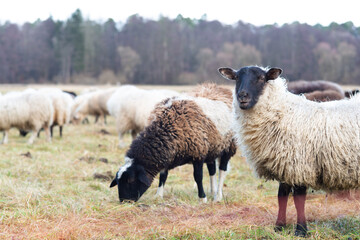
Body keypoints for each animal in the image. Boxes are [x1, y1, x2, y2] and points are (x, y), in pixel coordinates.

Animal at [218, 65, 360, 236]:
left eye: (261, 78)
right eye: (237, 78)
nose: (242, 96)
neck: (284, 113)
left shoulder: (300, 165)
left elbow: (299, 199)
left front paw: (301, 230)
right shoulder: (285, 164)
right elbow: (282, 196)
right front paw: (279, 227)